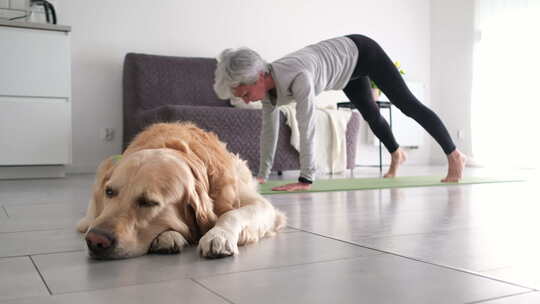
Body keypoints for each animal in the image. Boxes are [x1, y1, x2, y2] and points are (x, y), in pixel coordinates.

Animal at [77, 121, 286, 258]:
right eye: (109, 192)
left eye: (149, 202)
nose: (95, 240)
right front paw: (168, 236)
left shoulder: (261, 205)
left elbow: (232, 214)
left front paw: (218, 235)